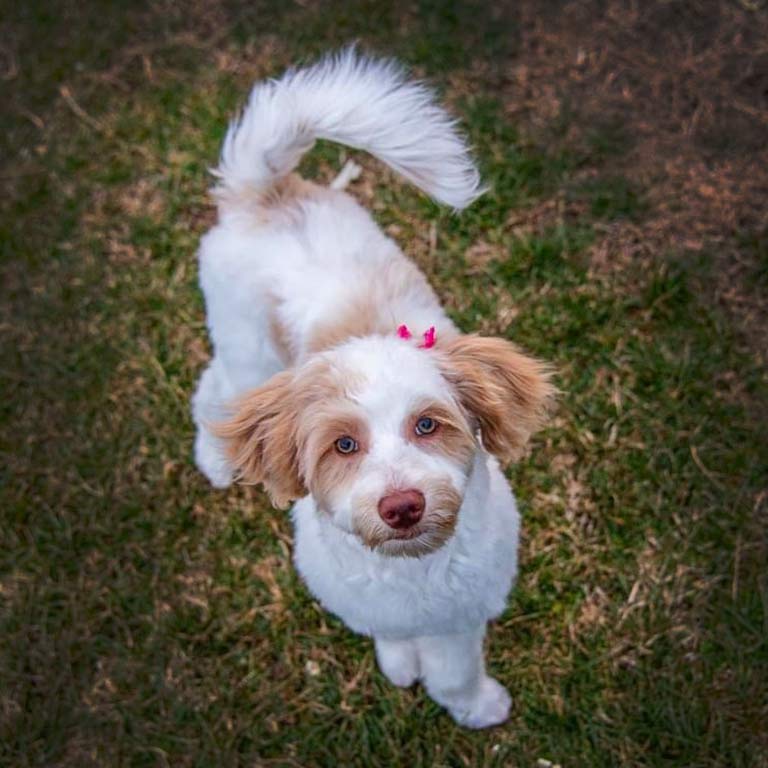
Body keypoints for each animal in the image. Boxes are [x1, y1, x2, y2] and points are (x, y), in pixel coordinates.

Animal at [190, 48, 552, 728]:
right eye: (344, 446)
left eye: (428, 425)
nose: (402, 505)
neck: (412, 571)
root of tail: (268, 192)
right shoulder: (359, 596)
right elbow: (389, 633)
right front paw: (402, 662)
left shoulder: (462, 610)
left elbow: (454, 667)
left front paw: (470, 703)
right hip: (248, 346)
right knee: (213, 388)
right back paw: (215, 457)